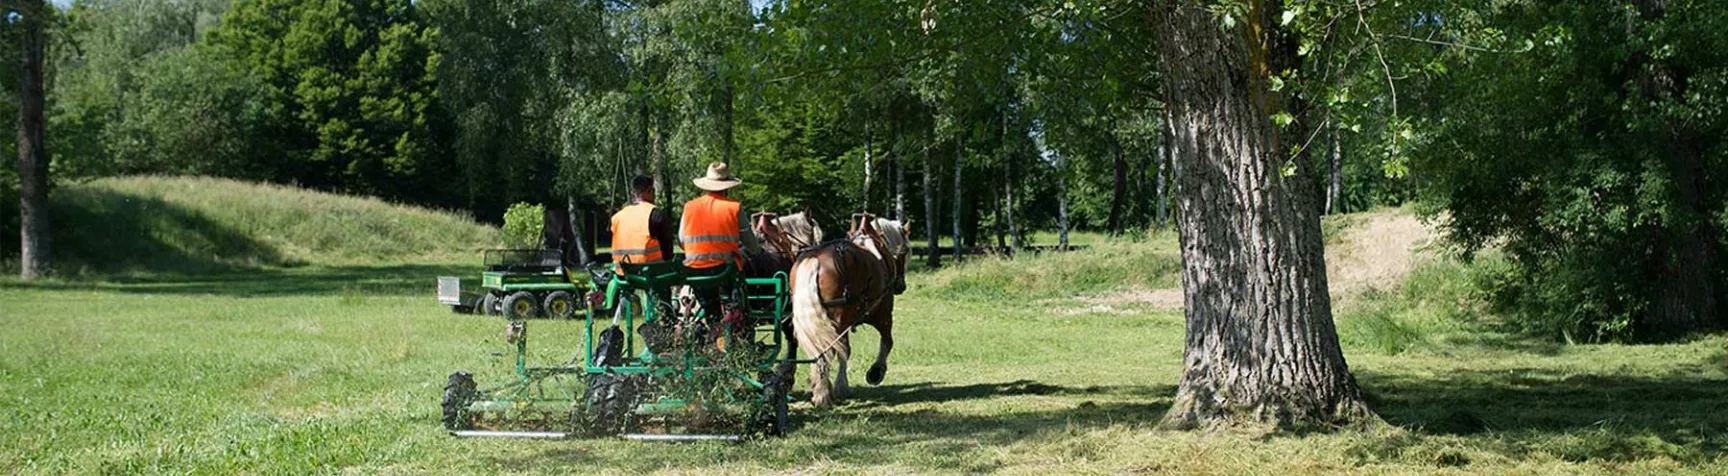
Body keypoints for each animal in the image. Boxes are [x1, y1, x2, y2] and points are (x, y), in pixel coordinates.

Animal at [791, 215, 912, 406]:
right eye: (906, 251)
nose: (901, 285)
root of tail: (814, 258)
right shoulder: (883, 312)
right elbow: (886, 342)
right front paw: (874, 372)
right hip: (839, 317)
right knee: (832, 350)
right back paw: (823, 393)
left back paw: (820, 386)